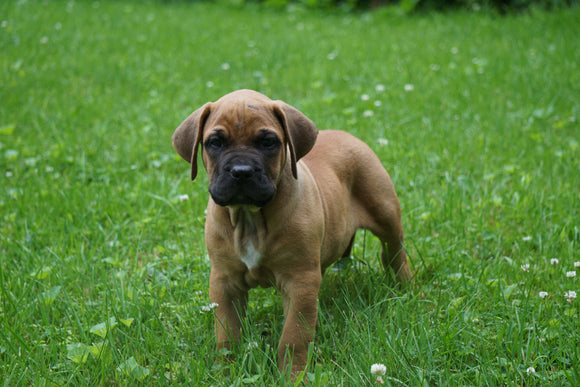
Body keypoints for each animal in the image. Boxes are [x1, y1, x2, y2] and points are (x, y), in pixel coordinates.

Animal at [172, 88, 412, 376]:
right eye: (215, 143)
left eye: (268, 142)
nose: (241, 172)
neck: (250, 217)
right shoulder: (224, 282)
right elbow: (227, 333)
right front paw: (226, 370)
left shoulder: (300, 282)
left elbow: (294, 335)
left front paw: (293, 374)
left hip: (385, 211)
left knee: (395, 253)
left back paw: (406, 288)